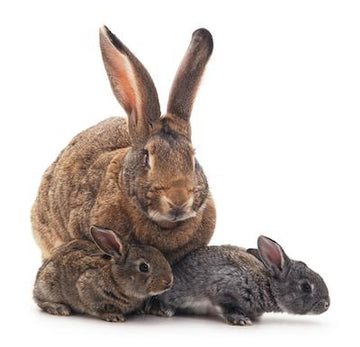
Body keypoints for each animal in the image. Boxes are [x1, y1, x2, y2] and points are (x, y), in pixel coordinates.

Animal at [33, 227, 173, 322]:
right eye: (144, 267)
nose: (169, 282)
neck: (115, 279)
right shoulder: (87, 289)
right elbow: (97, 308)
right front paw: (114, 316)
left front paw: (138, 311)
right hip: (48, 286)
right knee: (40, 301)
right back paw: (59, 308)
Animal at [148, 237, 330, 326]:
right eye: (306, 287)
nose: (327, 304)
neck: (267, 285)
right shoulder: (224, 290)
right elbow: (227, 306)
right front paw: (241, 320)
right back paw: (164, 310)